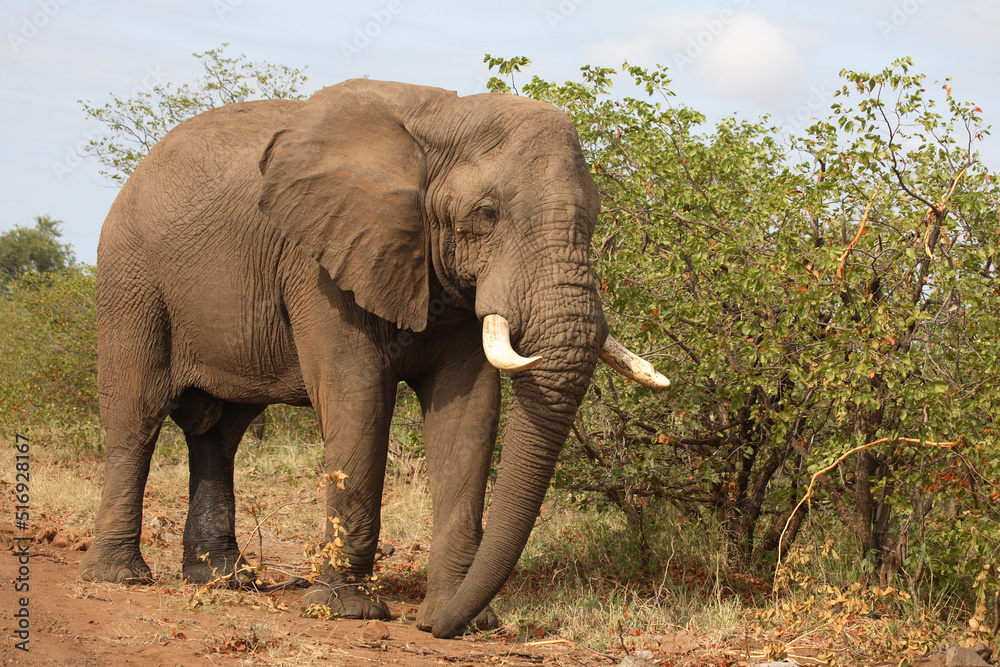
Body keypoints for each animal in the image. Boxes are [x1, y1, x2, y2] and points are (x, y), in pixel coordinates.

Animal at [79, 78, 668, 639]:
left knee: (220, 432)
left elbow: (470, 413)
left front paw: (462, 618)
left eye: (595, 217)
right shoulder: (320, 259)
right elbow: (357, 395)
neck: (442, 119)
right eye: (487, 214)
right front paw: (348, 611)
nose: (438, 626)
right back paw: (120, 576)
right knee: (137, 419)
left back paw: (225, 581)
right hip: (130, 280)